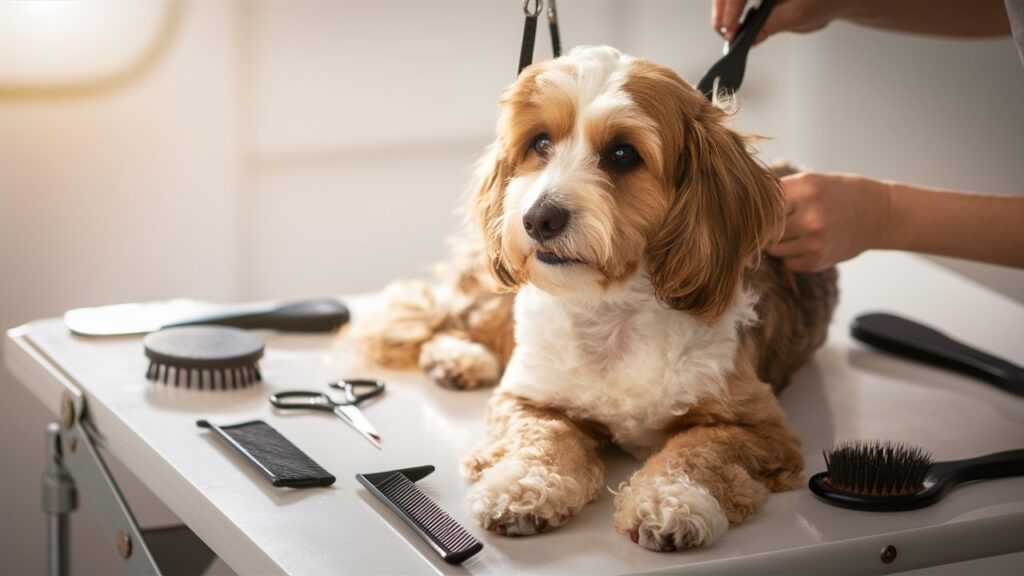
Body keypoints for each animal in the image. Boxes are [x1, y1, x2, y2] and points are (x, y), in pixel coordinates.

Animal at [364, 47, 835, 549]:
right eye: (540, 143)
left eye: (623, 154)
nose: (539, 218)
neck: (611, 312)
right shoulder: (527, 398)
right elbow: (543, 435)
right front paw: (523, 484)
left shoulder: (758, 427)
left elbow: (700, 452)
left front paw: (672, 500)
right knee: (448, 319)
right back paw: (458, 357)